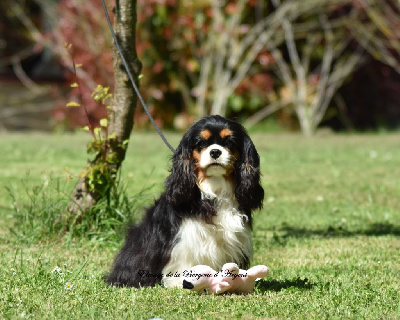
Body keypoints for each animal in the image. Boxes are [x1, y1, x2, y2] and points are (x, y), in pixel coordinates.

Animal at [104, 114, 264, 288]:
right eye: (201, 143)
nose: (215, 151)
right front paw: (182, 281)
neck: (215, 187)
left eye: (229, 142)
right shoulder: (186, 236)